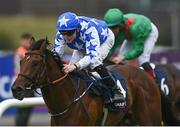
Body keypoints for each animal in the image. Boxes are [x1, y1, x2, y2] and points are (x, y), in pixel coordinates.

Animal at [11, 38, 162, 125]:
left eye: (35, 63)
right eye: (21, 61)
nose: (16, 89)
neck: (68, 101)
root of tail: (144, 73)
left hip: (150, 119)